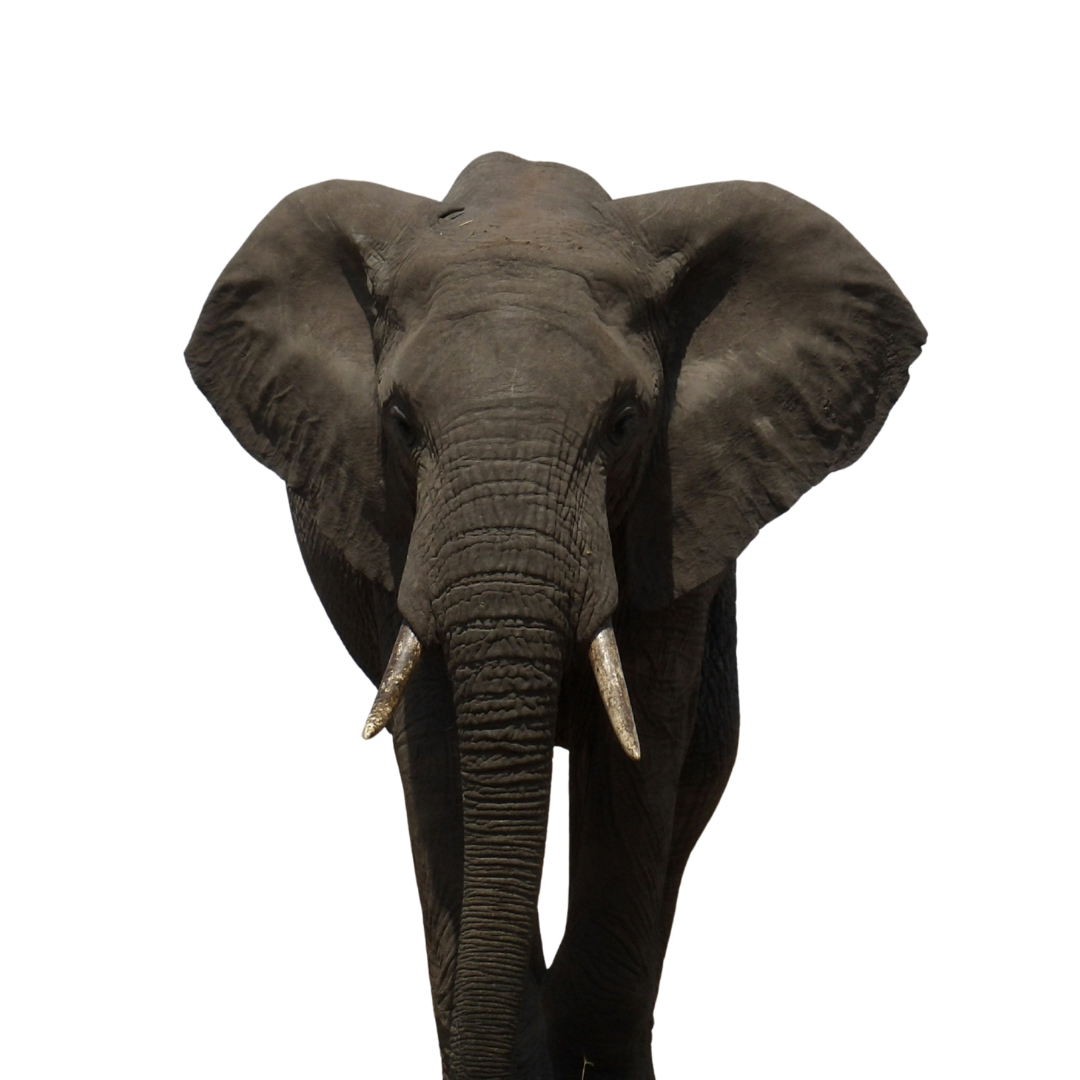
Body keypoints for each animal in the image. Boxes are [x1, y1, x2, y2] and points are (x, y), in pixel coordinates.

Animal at [183, 151, 926, 1079]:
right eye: (399, 422)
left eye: (624, 422)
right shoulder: (397, 524)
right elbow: (439, 749)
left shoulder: (672, 506)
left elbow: (638, 748)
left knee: (703, 761)